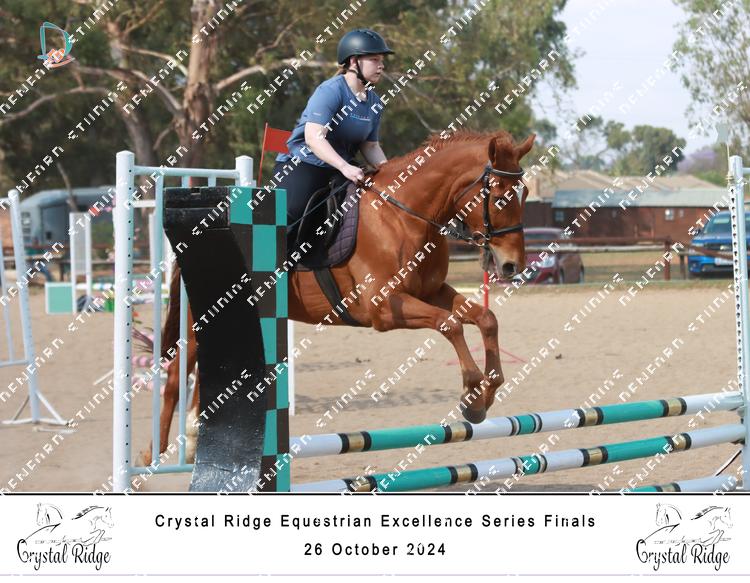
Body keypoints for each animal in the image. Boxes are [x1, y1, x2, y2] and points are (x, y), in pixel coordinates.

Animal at [138, 129, 535, 466]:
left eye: (526, 194)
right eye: (500, 195)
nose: (512, 265)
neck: (403, 215)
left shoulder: (432, 292)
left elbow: (485, 318)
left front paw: (487, 392)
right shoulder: (384, 308)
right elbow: (450, 325)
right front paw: (471, 394)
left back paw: (193, 442)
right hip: (201, 317)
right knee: (175, 378)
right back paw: (151, 456)